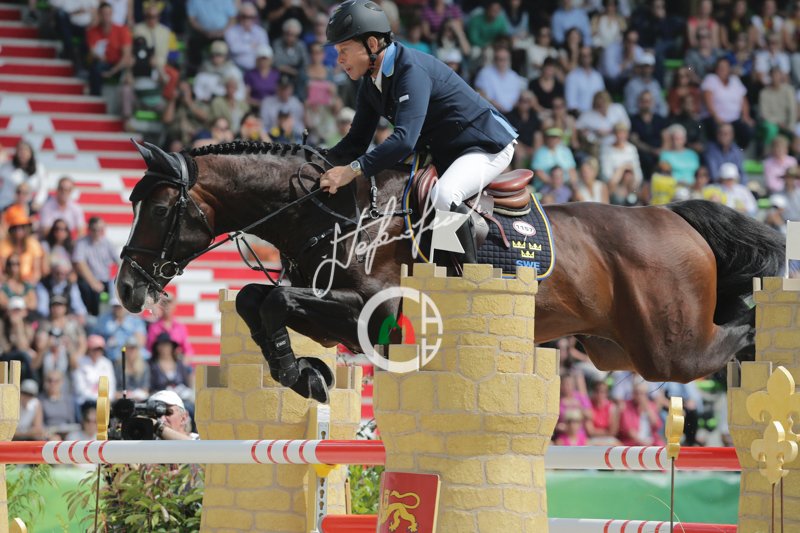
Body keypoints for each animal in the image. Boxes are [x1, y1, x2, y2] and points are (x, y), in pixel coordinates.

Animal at [116, 140, 785, 403]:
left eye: (159, 210)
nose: (126, 289)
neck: (330, 211)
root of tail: (675, 218)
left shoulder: (375, 313)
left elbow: (273, 301)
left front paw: (302, 374)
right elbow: (257, 300)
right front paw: (303, 372)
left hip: (669, 349)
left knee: (736, 334)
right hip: (617, 349)